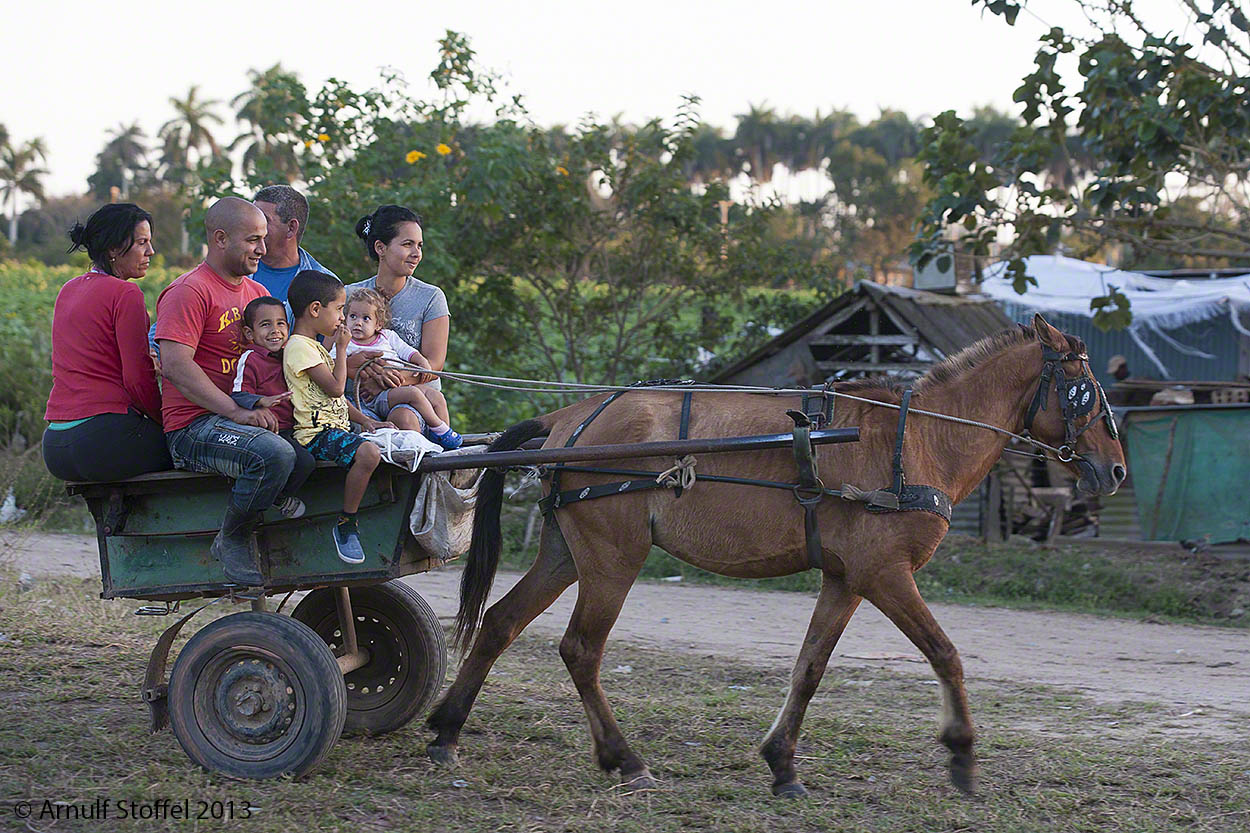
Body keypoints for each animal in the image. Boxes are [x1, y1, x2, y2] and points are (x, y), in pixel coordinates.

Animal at [425, 311, 1130, 790]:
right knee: (580, 650)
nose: (1117, 470)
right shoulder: (885, 573)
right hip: (613, 559)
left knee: (501, 623)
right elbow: (945, 654)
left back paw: (448, 728)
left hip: (568, 552)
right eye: (1085, 390)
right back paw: (622, 758)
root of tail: (571, 421)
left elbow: (809, 668)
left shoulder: (846, 579)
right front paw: (960, 752)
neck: (918, 439)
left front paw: (782, 763)